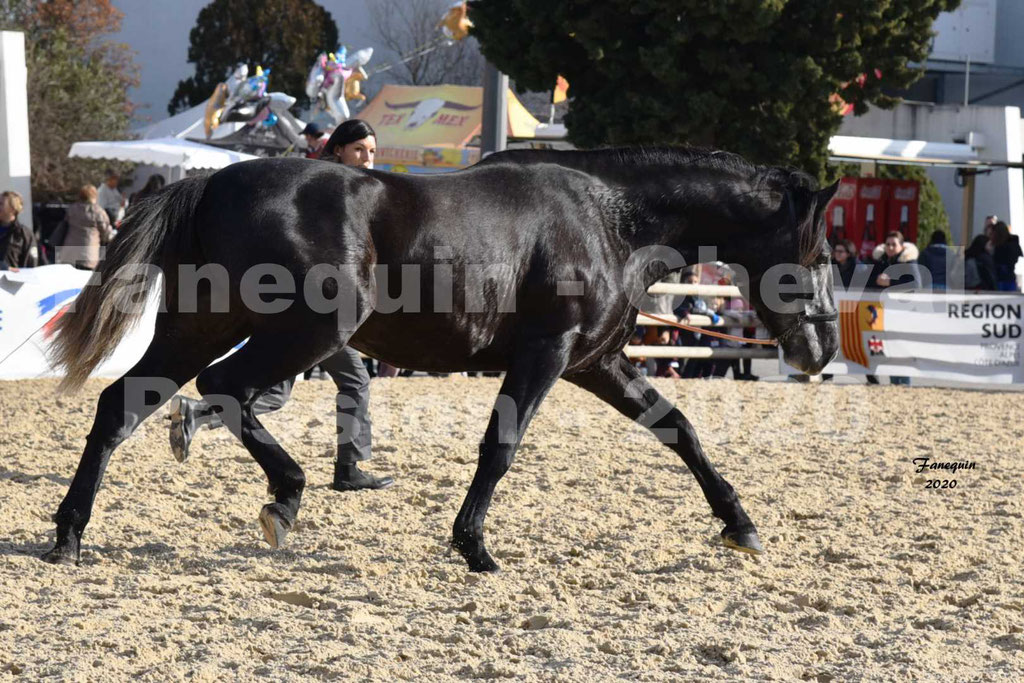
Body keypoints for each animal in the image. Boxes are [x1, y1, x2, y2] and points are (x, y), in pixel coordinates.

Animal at [41, 148, 839, 573]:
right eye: (823, 253)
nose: (823, 350)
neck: (611, 220)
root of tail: (213, 180)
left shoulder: (596, 362)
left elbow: (680, 430)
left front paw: (740, 525)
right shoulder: (548, 353)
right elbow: (501, 446)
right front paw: (475, 546)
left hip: (202, 325)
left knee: (124, 406)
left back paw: (70, 533)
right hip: (304, 330)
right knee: (222, 389)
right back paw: (285, 494)